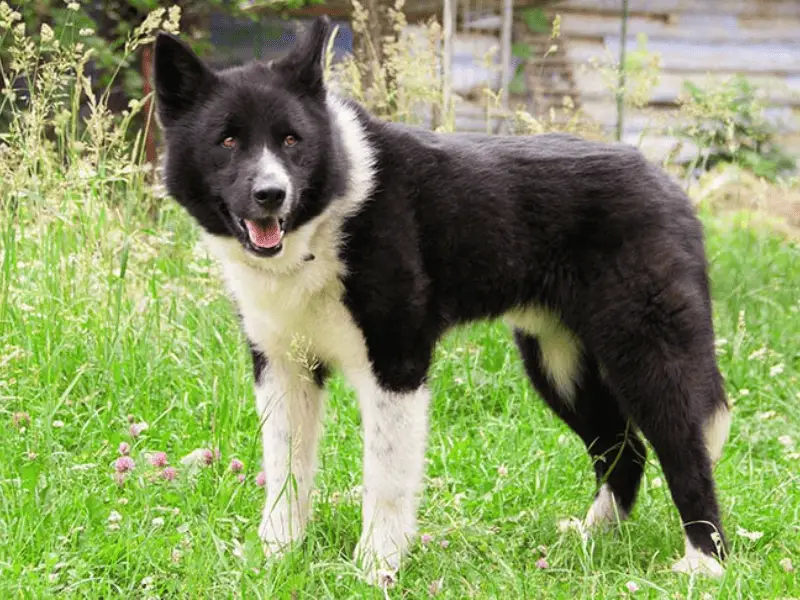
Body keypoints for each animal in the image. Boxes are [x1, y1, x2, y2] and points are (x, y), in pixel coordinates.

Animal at [152, 16, 732, 584]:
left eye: (291, 140)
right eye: (228, 141)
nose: (271, 195)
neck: (326, 222)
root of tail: (668, 185)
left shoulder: (397, 365)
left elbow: (385, 480)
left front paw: (376, 568)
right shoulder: (283, 367)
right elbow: (285, 472)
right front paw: (276, 557)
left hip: (644, 354)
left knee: (684, 449)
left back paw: (705, 562)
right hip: (559, 362)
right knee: (623, 449)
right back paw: (591, 540)